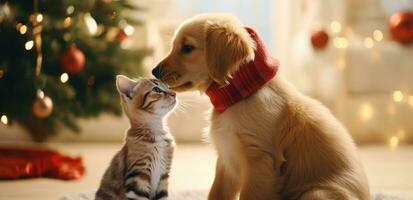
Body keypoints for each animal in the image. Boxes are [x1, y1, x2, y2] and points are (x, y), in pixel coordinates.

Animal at [152, 13, 370, 199]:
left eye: (187, 48)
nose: (154, 71)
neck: (239, 95)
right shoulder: (226, 161)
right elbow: (216, 193)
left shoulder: (258, 160)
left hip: (316, 193)